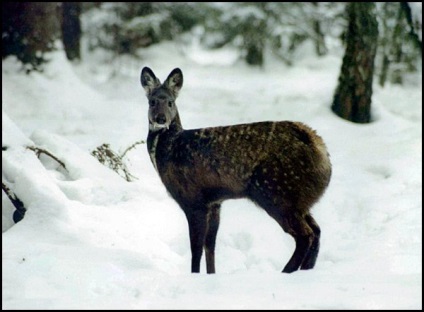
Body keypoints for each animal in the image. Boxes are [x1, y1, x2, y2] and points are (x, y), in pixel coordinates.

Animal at [139, 66, 332, 272]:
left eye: (170, 102)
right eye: (152, 102)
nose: (161, 119)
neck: (170, 149)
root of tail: (321, 151)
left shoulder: (193, 198)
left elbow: (196, 248)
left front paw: (194, 276)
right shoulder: (214, 202)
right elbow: (210, 245)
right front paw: (211, 275)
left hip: (277, 192)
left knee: (306, 235)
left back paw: (286, 272)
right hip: (298, 199)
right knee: (317, 231)